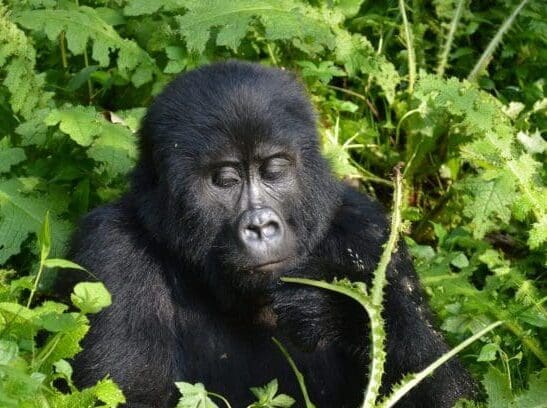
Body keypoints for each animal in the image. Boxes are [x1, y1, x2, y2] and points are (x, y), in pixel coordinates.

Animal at [68, 61, 478, 408]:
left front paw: (341, 308)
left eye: (274, 171)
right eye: (225, 179)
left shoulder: (371, 230)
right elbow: (124, 393)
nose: (261, 226)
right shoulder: (110, 246)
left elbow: (443, 387)